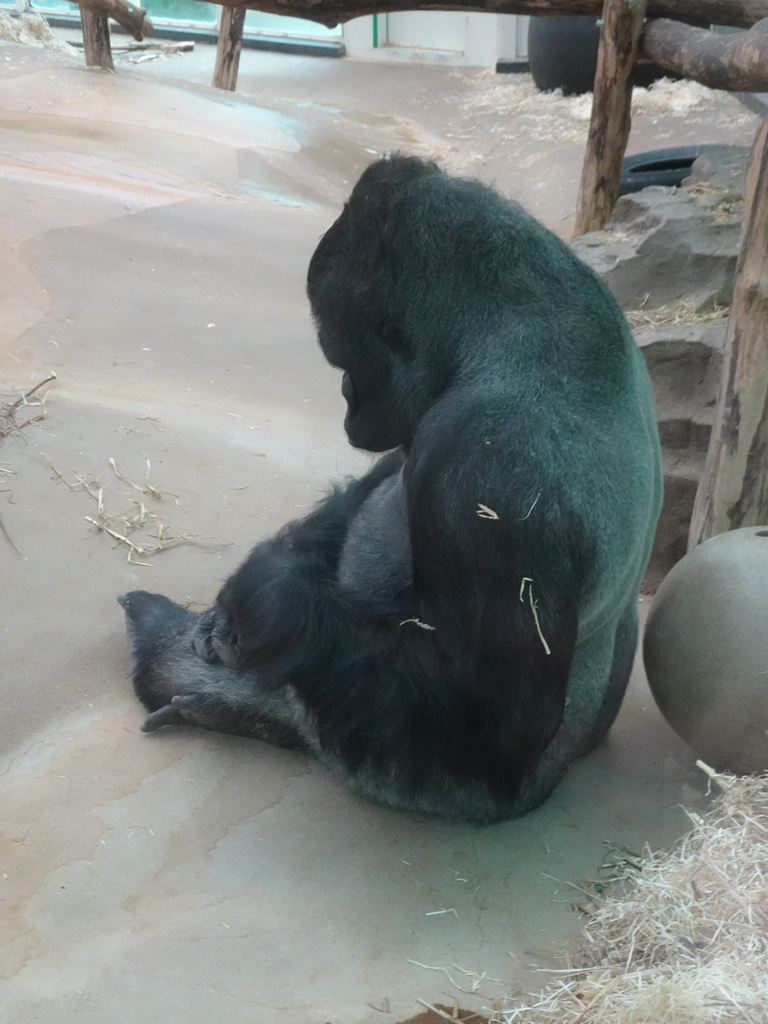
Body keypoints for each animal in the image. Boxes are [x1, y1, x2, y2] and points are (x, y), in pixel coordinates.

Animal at [118, 155, 663, 827]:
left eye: (341, 356)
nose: (347, 397)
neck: (516, 328)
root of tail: (562, 776)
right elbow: (383, 473)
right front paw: (261, 574)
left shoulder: (494, 462)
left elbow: (489, 719)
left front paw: (265, 595)